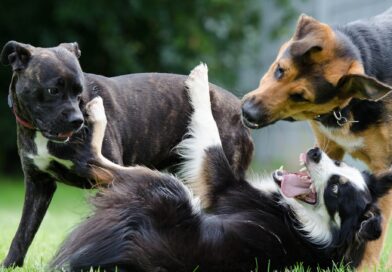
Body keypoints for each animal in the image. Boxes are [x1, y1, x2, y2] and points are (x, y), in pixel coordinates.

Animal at [0, 41, 254, 266]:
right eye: (52, 90)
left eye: (79, 93)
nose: (77, 120)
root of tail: (239, 109)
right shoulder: (38, 184)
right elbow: (24, 231)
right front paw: (11, 264)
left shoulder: (106, 181)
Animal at [50, 65, 392, 272]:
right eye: (339, 164)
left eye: (335, 189)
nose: (315, 152)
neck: (312, 227)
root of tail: (122, 255)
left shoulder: (223, 186)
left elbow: (209, 135)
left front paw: (199, 82)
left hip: (167, 186)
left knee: (95, 161)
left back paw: (96, 112)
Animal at [240, 9, 392, 268]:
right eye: (280, 70)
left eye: (300, 96)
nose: (247, 112)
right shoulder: (328, 147)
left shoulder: (383, 167)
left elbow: (373, 240)